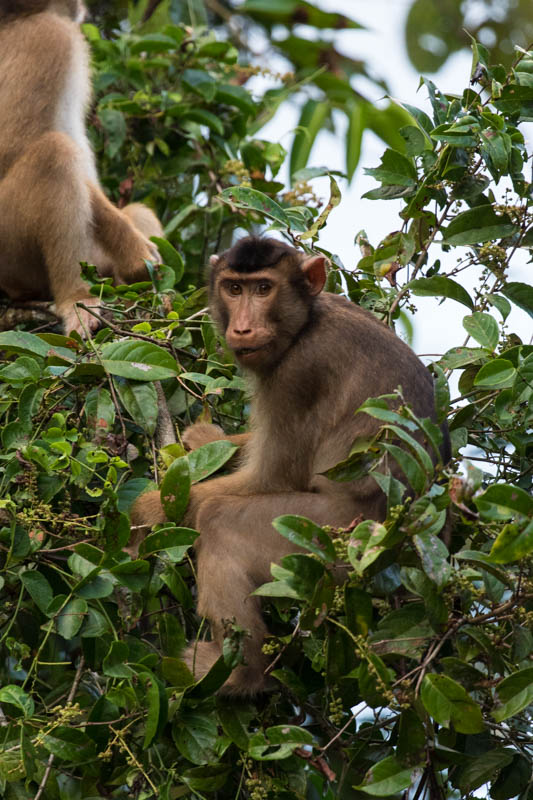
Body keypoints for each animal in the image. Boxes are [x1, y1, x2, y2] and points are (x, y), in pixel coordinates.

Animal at [0, 0, 162, 336]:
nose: (80, 6)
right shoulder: (48, 39)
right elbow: (11, 147)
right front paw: (136, 256)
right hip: (9, 249)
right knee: (54, 154)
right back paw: (75, 299)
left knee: (136, 211)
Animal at [131, 236, 442, 692]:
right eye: (233, 288)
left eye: (264, 289)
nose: (242, 327)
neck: (307, 323)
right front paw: (208, 441)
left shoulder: (299, 373)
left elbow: (273, 476)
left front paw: (147, 510)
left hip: (334, 541)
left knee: (220, 521)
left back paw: (241, 674)